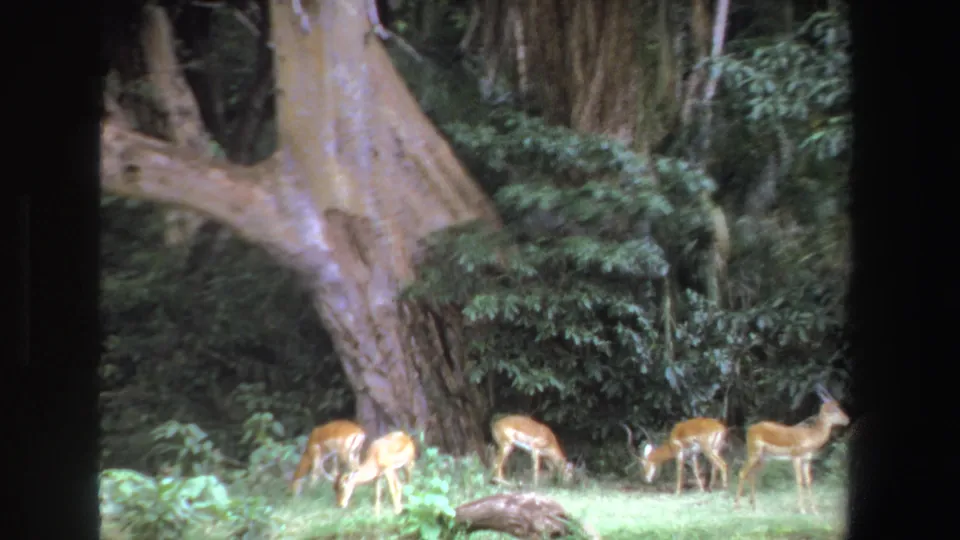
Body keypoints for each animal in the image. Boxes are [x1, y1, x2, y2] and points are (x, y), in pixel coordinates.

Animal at [735, 384, 850, 514]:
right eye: (834, 408)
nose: (847, 420)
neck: (810, 436)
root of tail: (750, 429)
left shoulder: (806, 459)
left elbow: (808, 481)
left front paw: (815, 510)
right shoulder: (796, 457)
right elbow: (799, 480)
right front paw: (802, 510)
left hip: (764, 458)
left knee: (752, 475)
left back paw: (755, 507)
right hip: (754, 453)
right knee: (742, 472)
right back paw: (737, 506)